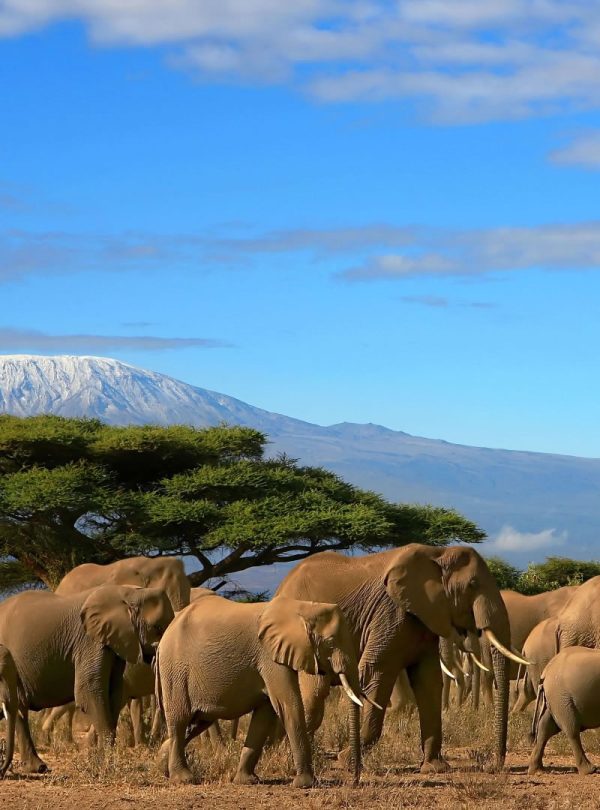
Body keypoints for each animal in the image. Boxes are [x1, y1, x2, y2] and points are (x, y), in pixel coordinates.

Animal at [155, 592, 364, 784]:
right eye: (330, 642)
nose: (354, 780)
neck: (303, 608)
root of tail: (166, 632)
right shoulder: (269, 657)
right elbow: (288, 705)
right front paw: (306, 784)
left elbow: (265, 714)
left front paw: (247, 781)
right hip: (175, 670)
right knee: (180, 720)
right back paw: (184, 779)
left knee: (197, 722)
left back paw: (163, 766)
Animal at [276, 540, 524, 768]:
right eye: (473, 584)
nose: (494, 764)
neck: (438, 553)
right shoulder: (390, 613)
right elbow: (377, 672)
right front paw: (347, 760)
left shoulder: (424, 618)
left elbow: (428, 681)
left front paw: (434, 767)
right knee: (314, 692)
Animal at [528, 644, 600, 772]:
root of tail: (546, 671)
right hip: (561, 698)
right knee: (571, 729)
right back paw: (589, 770)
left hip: (555, 698)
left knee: (545, 727)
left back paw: (537, 770)